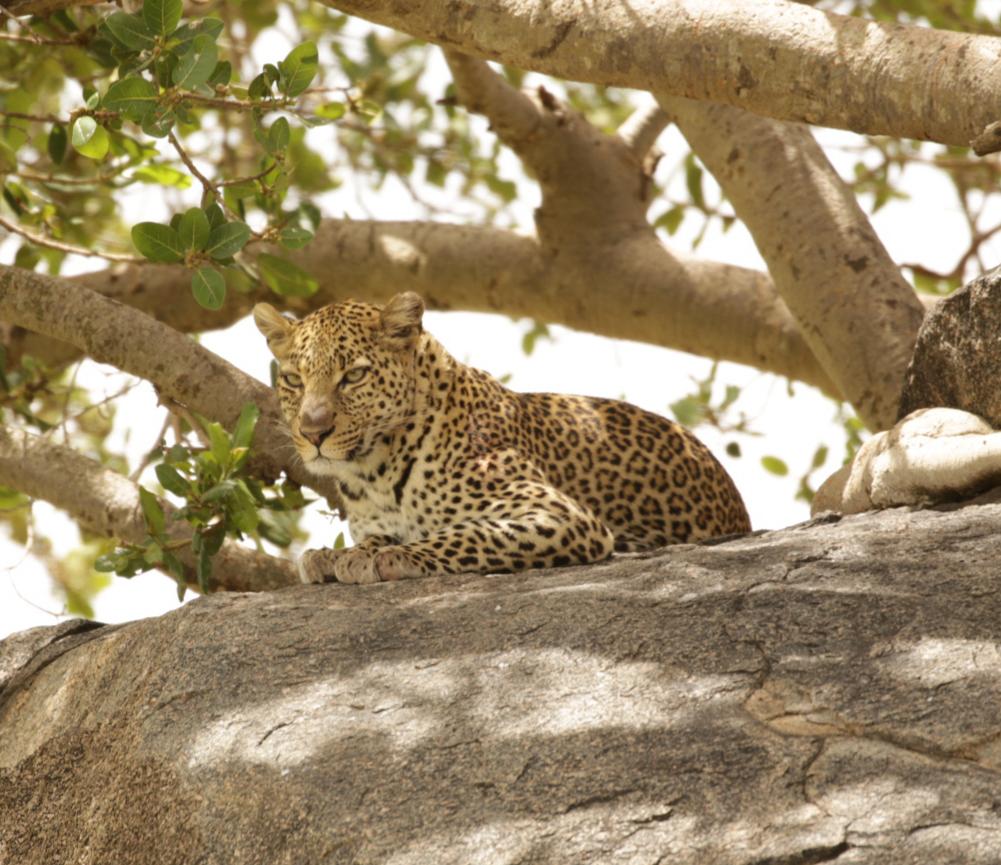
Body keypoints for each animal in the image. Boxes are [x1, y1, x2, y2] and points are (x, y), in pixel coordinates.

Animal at [253, 292, 750, 585]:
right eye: (294, 380)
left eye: (353, 376)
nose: (313, 431)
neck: (373, 469)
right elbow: (375, 537)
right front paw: (333, 554)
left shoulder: (560, 514)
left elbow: (463, 533)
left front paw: (391, 556)